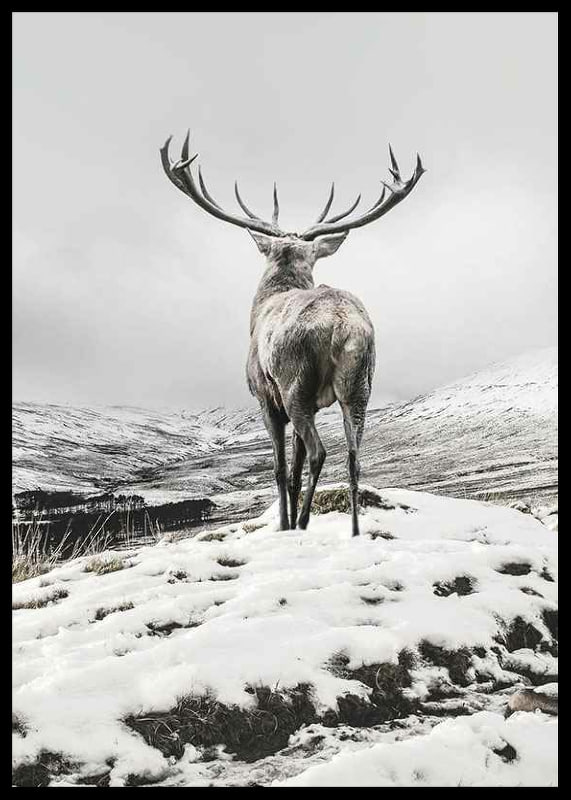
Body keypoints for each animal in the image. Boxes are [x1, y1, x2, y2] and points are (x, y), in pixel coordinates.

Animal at [160, 132, 425, 536]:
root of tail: (341, 324)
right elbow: (295, 470)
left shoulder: (265, 398)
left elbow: (281, 468)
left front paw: (283, 525)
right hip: (360, 385)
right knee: (354, 457)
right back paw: (353, 532)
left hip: (294, 384)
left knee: (319, 452)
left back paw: (301, 523)